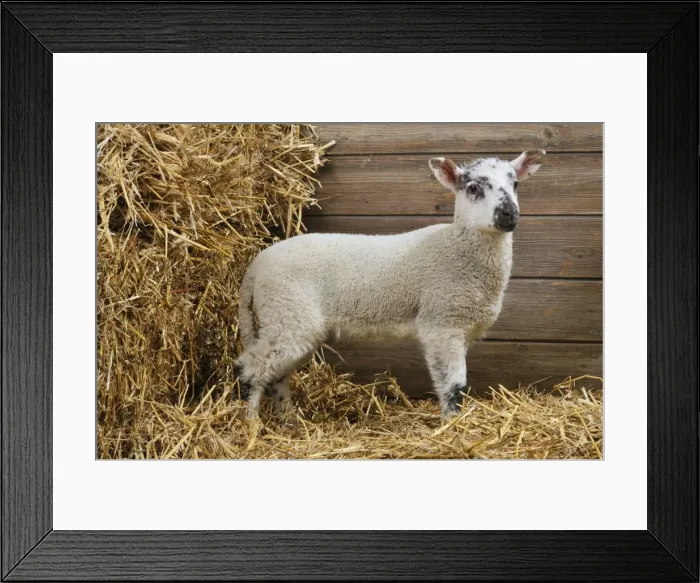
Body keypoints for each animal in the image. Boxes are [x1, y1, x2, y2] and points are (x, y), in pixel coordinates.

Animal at [234, 149, 546, 421]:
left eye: (515, 184)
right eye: (473, 188)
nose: (508, 213)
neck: (457, 248)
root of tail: (255, 268)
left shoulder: (462, 327)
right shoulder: (442, 323)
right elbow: (453, 385)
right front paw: (452, 427)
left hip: (288, 321)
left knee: (277, 375)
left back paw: (289, 423)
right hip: (287, 311)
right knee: (250, 369)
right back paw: (250, 427)